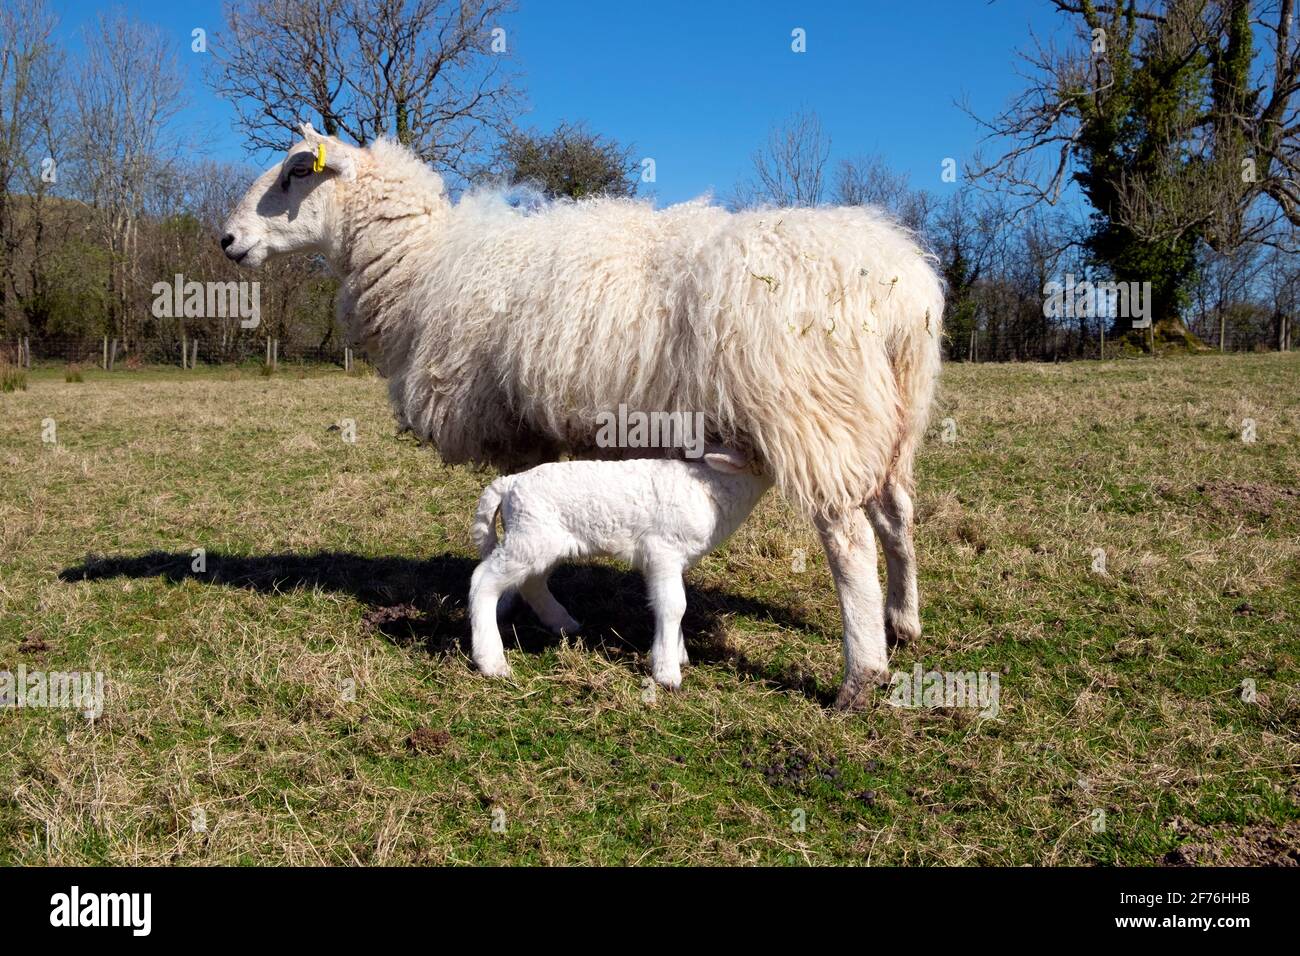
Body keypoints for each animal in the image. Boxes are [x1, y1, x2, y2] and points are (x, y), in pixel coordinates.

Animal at [470, 450, 764, 686]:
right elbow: (673, 606)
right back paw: (492, 662)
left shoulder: (673, 561)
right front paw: (667, 672)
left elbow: (674, 602)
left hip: (542, 542)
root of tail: (508, 484)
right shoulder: (663, 552)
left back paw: (563, 624)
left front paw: (678, 653)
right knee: (483, 581)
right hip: (528, 536)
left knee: (531, 583)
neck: (713, 489)